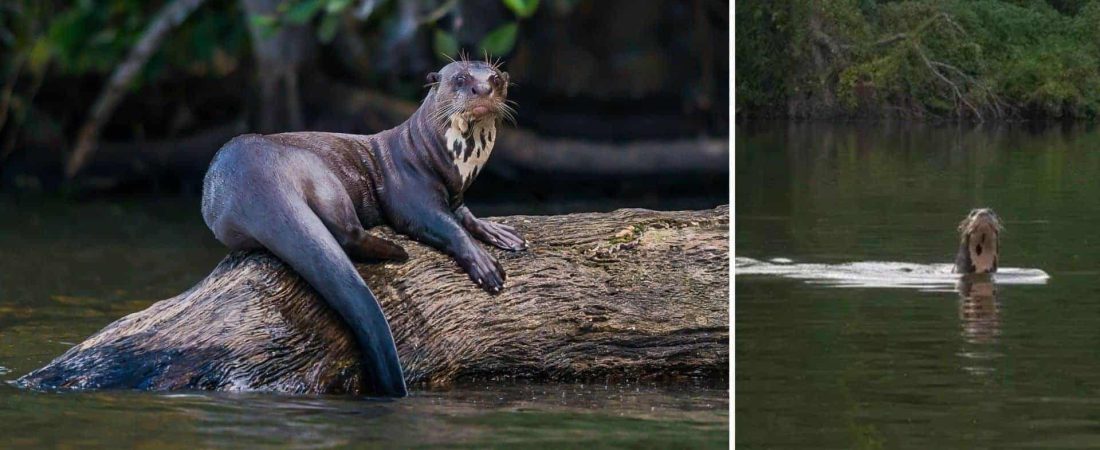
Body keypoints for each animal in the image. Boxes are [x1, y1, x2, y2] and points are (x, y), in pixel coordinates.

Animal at [203, 56, 528, 396]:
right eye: (461, 79)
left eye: (495, 78)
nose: (482, 89)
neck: (437, 157)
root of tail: (254, 178)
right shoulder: (410, 193)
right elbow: (446, 226)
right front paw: (484, 265)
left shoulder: (456, 195)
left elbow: (465, 215)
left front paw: (500, 233)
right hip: (321, 174)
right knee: (347, 233)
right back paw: (396, 251)